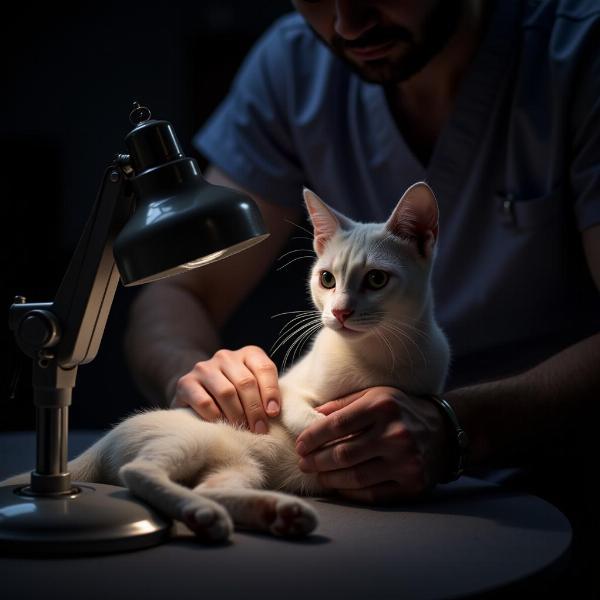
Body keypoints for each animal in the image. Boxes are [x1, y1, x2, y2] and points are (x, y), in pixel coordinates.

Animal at [3, 183, 446, 544]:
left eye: (376, 280)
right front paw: (320, 427)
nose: (339, 312)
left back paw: (275, 513)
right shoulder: (283, 385)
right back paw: (209, 514)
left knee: (207, 487)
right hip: (190, 440)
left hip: (241, 467)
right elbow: (295, 407)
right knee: (138, 473)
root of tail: (101, 444)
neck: (374, 355)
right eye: (327, 279)